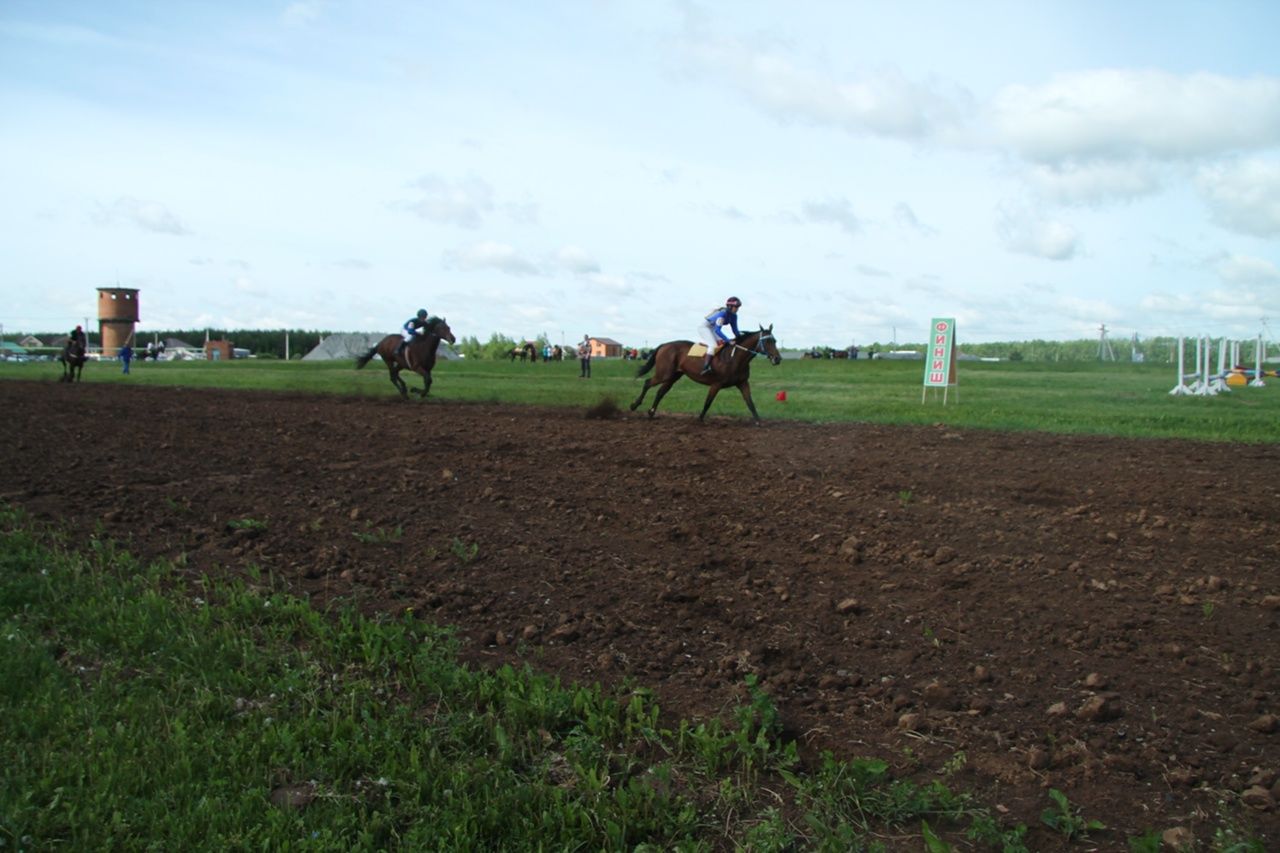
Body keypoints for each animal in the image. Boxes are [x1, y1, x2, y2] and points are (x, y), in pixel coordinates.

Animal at [629, 324, 778, 420]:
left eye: (775, 340)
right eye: (768, 341)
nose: (778, 358)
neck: (735, 358)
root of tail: (664, 345)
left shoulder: (742, 383)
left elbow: (750, 403)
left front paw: (758, 421)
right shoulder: (716, 384)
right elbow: (708, 402)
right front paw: (700, 418)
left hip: (673, 376)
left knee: (661, 392)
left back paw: (651, 412)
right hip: (664, 373)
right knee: (648, 383)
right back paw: (634, 405)